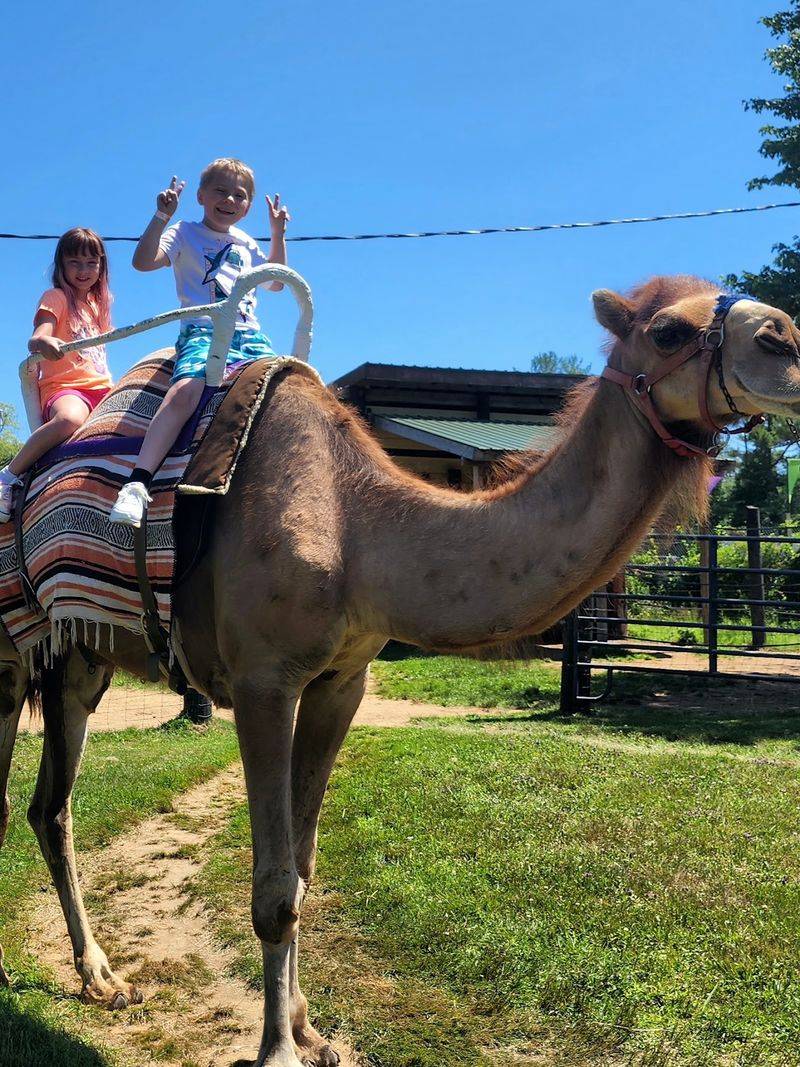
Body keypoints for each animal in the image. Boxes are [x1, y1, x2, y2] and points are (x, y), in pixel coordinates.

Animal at [2, 274, 800, 1067]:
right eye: (667, 332)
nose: (785, 339)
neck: (360, 530)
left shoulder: (340, 681)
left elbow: (302, 867)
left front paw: (309, 1031)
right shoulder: (264, 681)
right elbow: (272, 888)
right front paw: (277, 1050)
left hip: (78, 659)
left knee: (51, 807)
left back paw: (103, 977)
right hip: (9, 654)